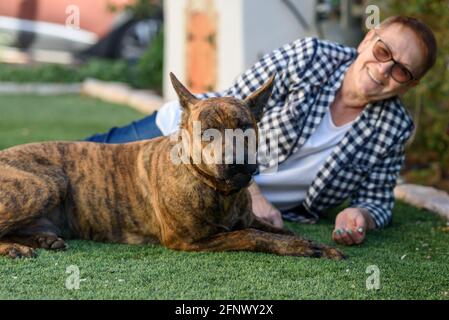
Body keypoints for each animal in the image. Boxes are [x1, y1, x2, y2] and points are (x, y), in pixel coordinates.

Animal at [0, 73, 344, 260]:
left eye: (245, 126)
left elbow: (276, 228)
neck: (217, 190)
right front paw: (300, 246)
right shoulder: (189, 240)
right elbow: (253, 236)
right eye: (207, 131)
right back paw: (14, 249)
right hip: (43, 186)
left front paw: (315, 243)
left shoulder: (247, 218)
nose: (235, 161)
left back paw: (43, 240)